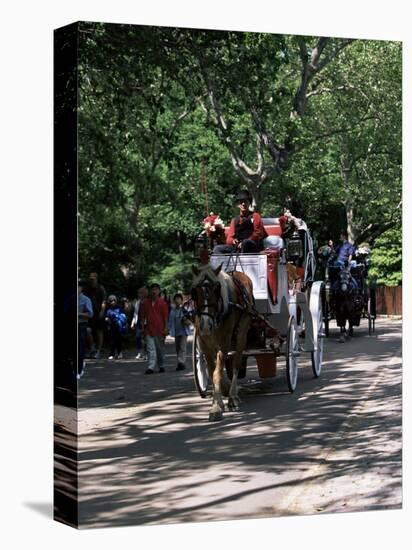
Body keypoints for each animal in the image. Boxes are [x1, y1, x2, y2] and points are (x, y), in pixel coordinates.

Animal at [191, 264, 254, 422]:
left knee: (236, 363)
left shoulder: (224, 343)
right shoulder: (205, 344)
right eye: (195, 291)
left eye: (216, 289)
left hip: (242, 334)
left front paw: (216, 407)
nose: (206, 325)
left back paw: (233, 396)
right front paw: (217, 402)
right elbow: (212, 372)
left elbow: (216, 373)